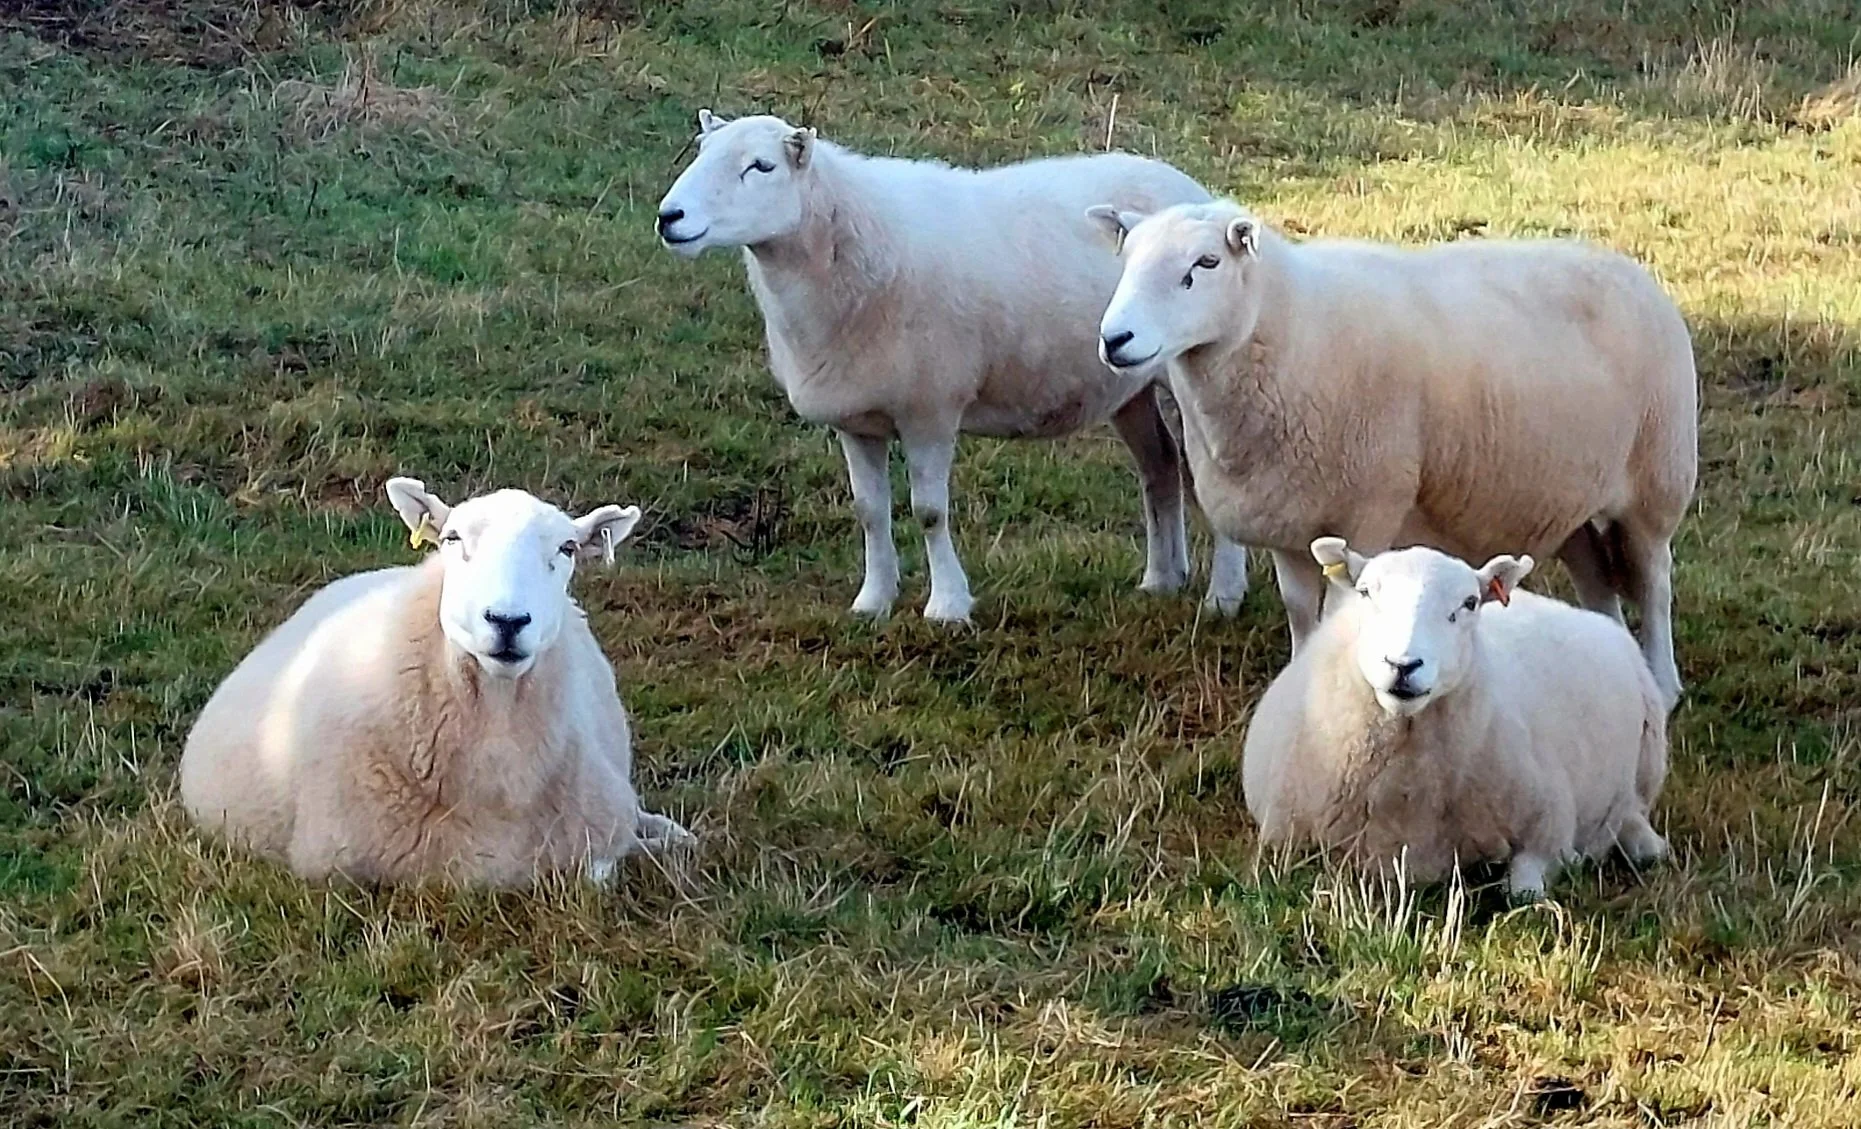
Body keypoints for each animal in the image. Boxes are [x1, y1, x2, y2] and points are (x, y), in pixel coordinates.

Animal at [655, 110, 1250, 623]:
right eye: (701, 151)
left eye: (761, 166)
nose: (669, 217)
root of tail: (1191, 190)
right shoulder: (855, 417)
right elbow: (869, 510)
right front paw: (873, 601)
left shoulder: (930, 409)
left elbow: (928, 511)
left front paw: (947, 606)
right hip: (1128, 383)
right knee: (1160, 465)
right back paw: (1162, 579)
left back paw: (1224, 595)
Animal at [1090, 200, 1697, 710]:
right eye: (1126, 257)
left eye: (1206, 262)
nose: (1115, 339)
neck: (1289, 328)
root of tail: (1630, 269)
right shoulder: (1288, 516)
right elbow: (1299, 611)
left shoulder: (1368, 510)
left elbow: (1338, 612)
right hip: (1563, 497)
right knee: (1596, 575)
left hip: (1656, 479)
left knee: (1655, 583)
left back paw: (1663, 686)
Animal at [1242, 539, 1670, 901]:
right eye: (1364, 592)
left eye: (1469, 603)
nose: (1403, 665)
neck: (1407, 791)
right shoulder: (1286, 843)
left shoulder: (1548, 828)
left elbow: (1524, 892)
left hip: (1649, 763)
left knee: (1633, 814)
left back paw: (1645, 846)